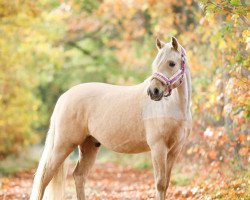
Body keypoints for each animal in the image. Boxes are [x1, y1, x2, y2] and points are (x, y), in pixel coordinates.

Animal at [30, 37, 191, 200]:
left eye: (172, 63)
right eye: (155, 64)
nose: (153, 92)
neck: (171, 107)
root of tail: (64, 96)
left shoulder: (174, 150)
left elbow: (166, 184)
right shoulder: (158, 147)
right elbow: (160, 184)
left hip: (89, 145)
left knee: (79, 176)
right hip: (63, 145)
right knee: (45, 177)